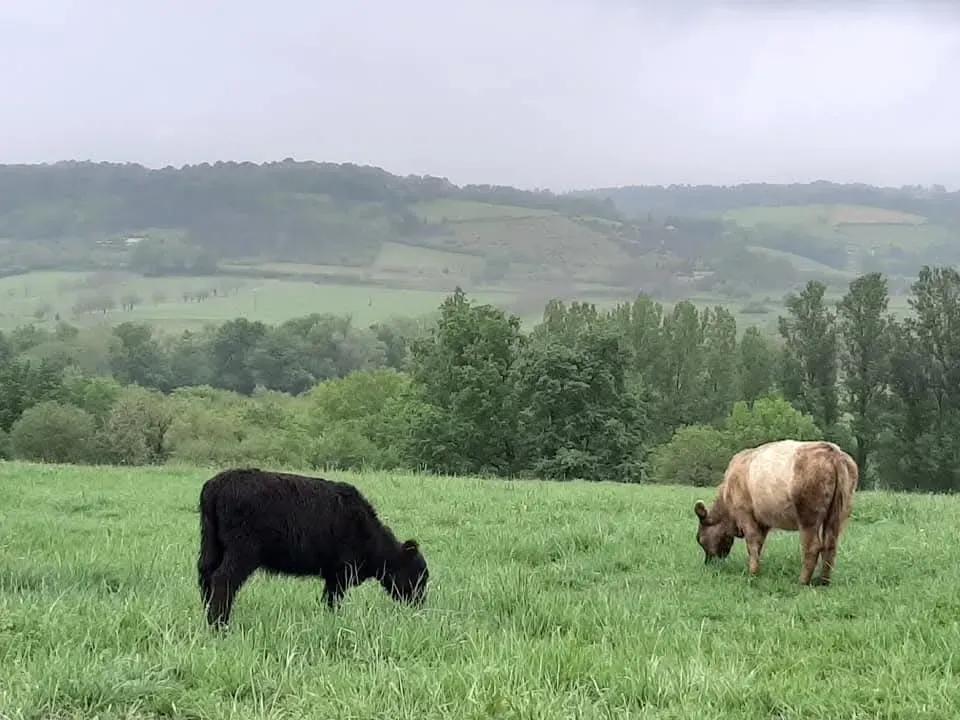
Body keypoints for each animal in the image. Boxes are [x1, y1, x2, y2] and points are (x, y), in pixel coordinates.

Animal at [197, 467, 429, 628]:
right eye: (419, 576)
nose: (420, 606)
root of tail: (216, 485)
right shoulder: (341, 573)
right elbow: (333, 600)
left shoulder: (333, 574)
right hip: (243, 550)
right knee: (224, 580)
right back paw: (220, 624)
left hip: (212, 545)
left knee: (206, 574)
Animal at [693, 439, 858, 586]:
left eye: (700, 539)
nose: (709, 564)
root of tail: (832, 452)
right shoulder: (763, 521)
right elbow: (759, 544)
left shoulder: (744, 513)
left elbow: (752, 543)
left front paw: (753, 573)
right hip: (838, 513)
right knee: (831, 544)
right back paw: (823, 581)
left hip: (808, 515)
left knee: (812, 547)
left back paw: (802, 581)